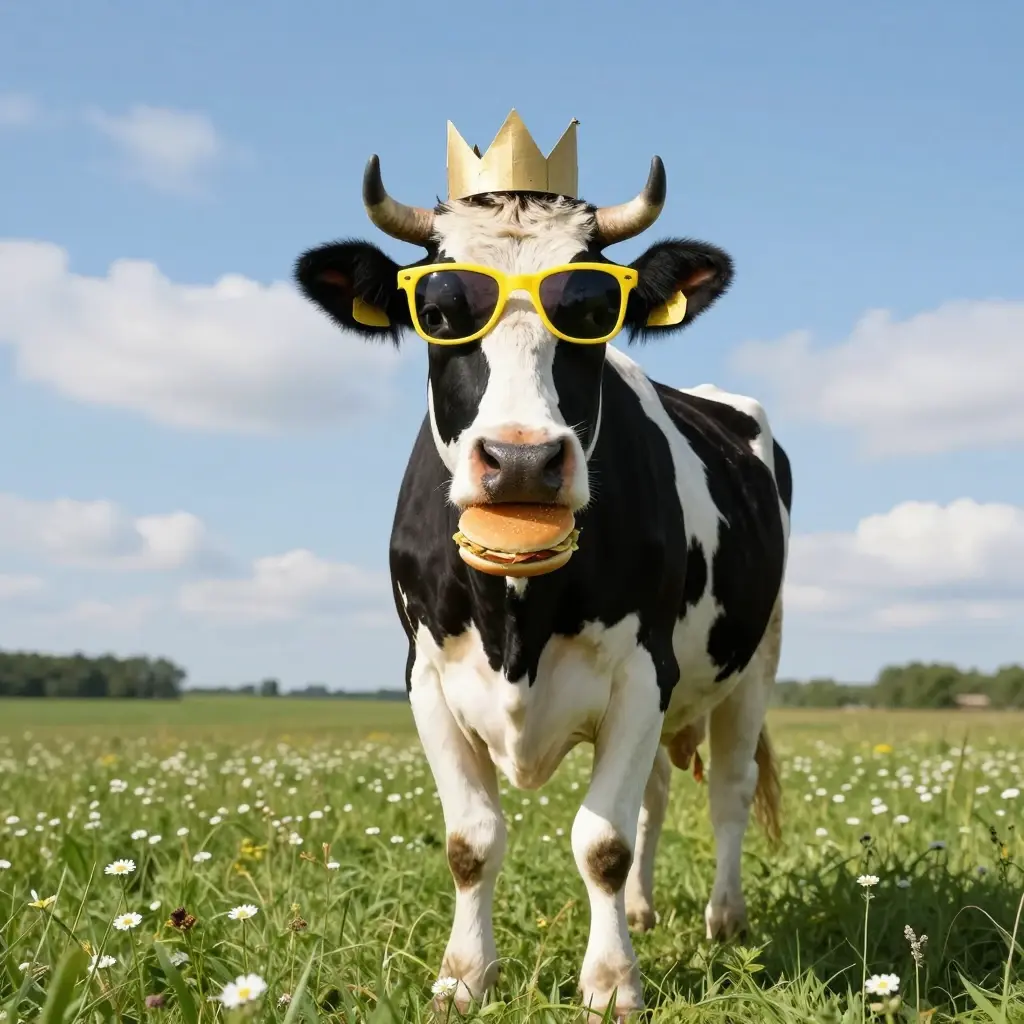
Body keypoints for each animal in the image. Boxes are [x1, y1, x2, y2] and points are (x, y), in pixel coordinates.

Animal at [294, 144, 791, 1019]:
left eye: (591, 308)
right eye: (440, 310)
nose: (522, 459)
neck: (514, 617)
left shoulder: (641, 670)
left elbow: (602, 842)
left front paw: (612, 982)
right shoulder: (427, 675)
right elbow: (471, 842)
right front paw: (463, 978)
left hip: (754, 658)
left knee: (727, 790)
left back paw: (724, 921)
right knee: (658, 791)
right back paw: (643, 911)